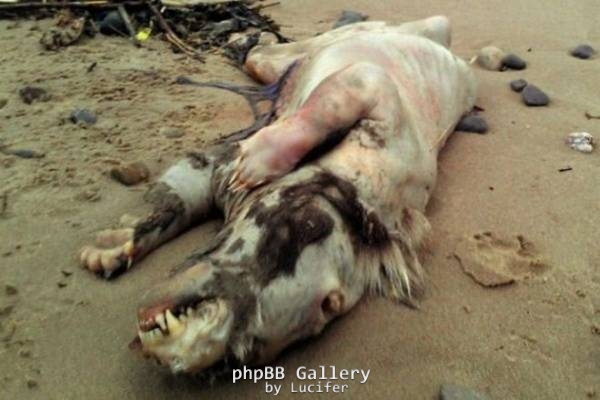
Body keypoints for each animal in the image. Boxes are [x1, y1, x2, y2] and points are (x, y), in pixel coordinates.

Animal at [79, 16, 477, 375]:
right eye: (306, 225)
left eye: (328, 308)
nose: (206, 340)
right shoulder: (380, 108)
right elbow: (342, 95)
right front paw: (109, 245)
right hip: (364, 36)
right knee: (265, 56)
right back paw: (241, 39)